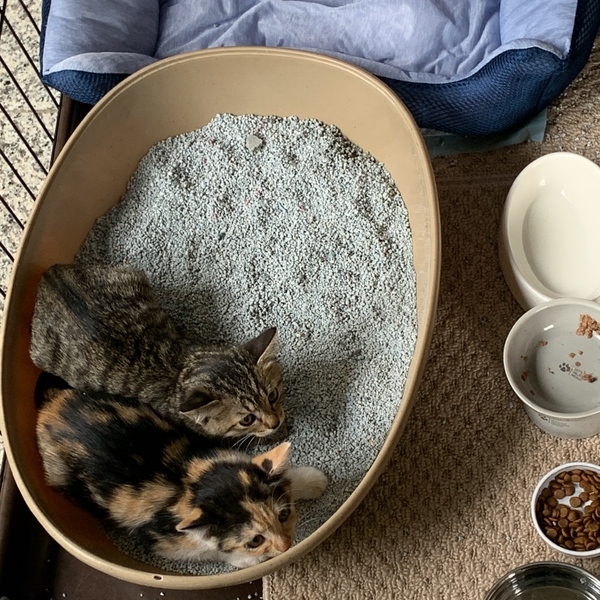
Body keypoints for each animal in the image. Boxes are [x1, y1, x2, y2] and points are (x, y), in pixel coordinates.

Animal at [29, 263, 284, 439]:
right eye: (247, 419)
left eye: (273, 395)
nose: (275, 422)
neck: (181, 368)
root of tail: (49, 274)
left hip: (129, 273)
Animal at [35, 373, 327, 568]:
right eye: (254, 540)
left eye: (284, 515)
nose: (286, 545)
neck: (191, 479)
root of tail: (50, 407)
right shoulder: (162, 540)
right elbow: (209, 550)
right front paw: (247, 560)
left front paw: (314, 481)